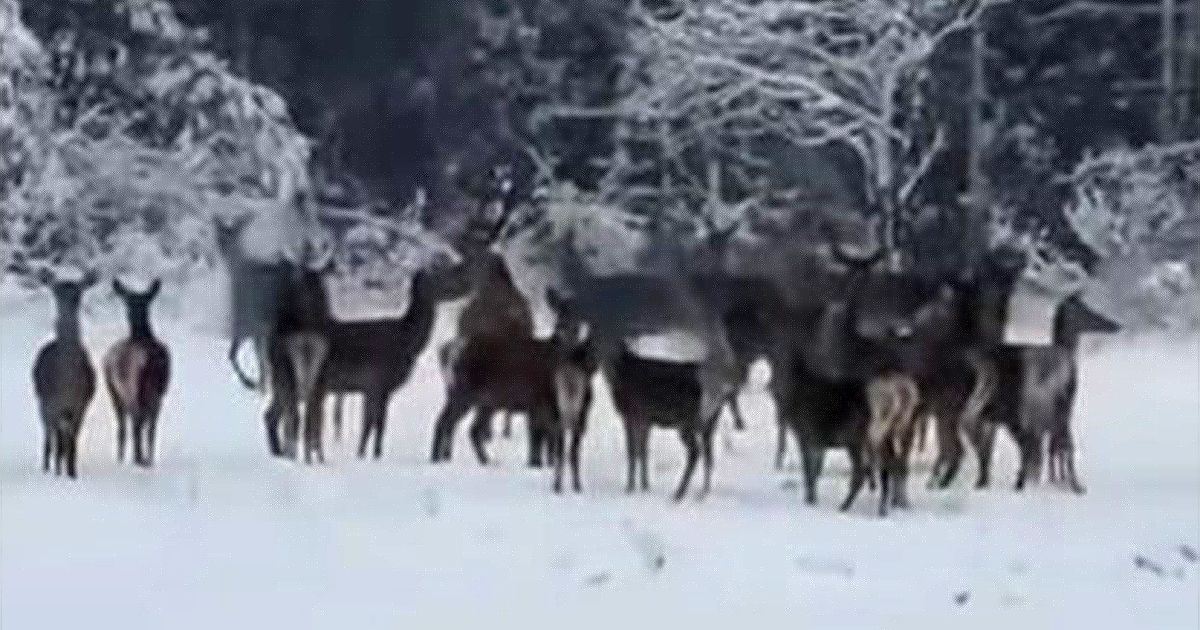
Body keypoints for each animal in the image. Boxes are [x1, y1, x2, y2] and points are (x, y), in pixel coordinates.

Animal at [31, 267, 98, 480]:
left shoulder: (81, 405)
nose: (66, 313)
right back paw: (47, 467)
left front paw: (72, 473)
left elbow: (72, 443)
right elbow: (55, 442)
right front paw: (58, 473)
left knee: (63, 440)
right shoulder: (51, 403)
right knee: (49, 437)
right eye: (56, 292)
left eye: (78, 294)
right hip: (42, 403)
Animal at [104, 279, 170, 465]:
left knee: (135, 423)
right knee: (151, 427)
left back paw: (137, 458)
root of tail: (150, 359)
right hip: (157, 393)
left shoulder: (113, 390)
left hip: (132, 390)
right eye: (130, 301)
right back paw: (148, 459)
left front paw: (121, 458)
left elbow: (122, 427)